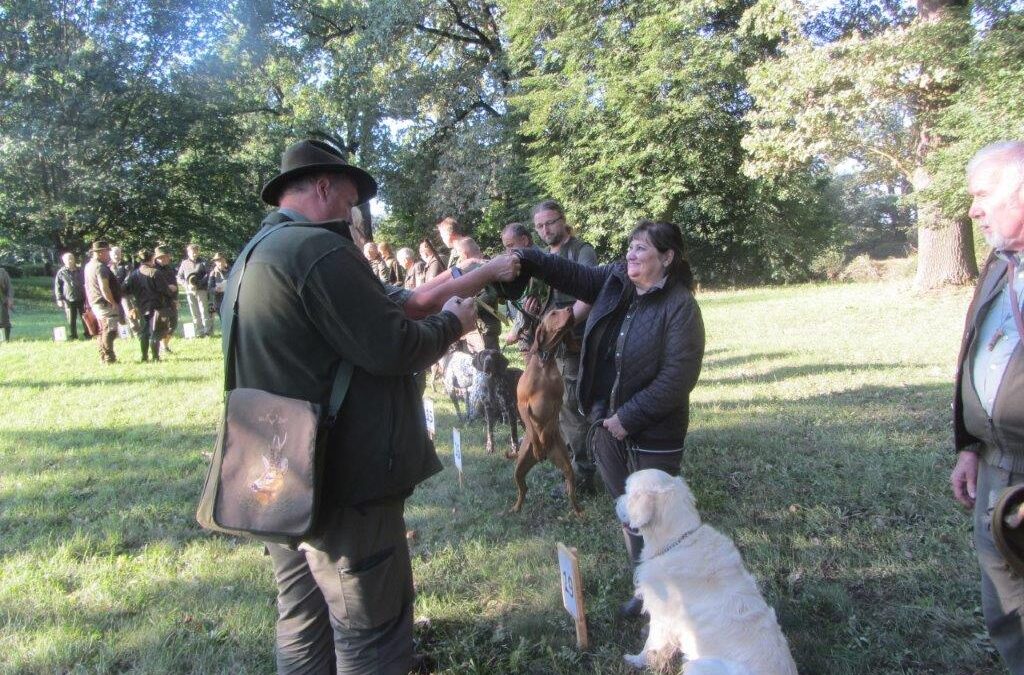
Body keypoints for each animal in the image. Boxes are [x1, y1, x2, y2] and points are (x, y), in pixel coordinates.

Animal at [505, 309, 581, 514]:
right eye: (553, 312)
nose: (570, 309)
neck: (544, 363)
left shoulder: (557, 402)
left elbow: (549, 423)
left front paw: (544, 437)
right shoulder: (522, 404)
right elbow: (532, 427)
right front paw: (539, 442)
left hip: (566, 466)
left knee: (571, 490)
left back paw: (578, 511)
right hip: (519, 467)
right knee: (523, 489)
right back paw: (516, 508)